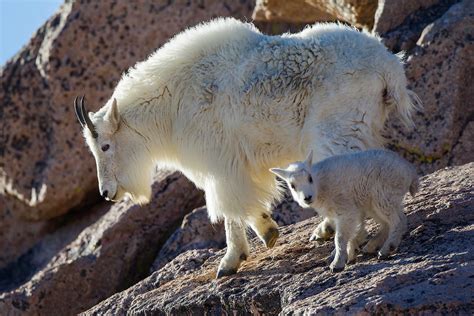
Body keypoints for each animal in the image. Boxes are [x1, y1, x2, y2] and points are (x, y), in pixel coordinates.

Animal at [76, 18, 420, 278]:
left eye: (105, 145)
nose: (106, 192)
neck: (171, 102)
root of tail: (390, 66)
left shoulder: (221, 164)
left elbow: (230, 208)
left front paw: (230, 261)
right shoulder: (237, 166)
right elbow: (246, 204)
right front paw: (268, 232)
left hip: (337, 130)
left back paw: (340, 235)